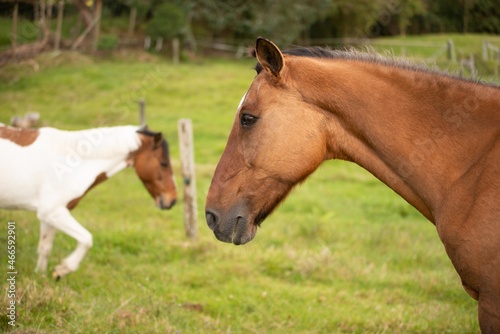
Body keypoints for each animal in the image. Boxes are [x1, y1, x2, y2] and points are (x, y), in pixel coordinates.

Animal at [0, 122, 177, 280]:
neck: (70, 162)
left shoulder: (48, 216)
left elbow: (45, 248)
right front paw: (62, 270)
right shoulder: (52, 212)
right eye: (163, 163)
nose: (173, 200)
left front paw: (41, 278)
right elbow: (86, 239)